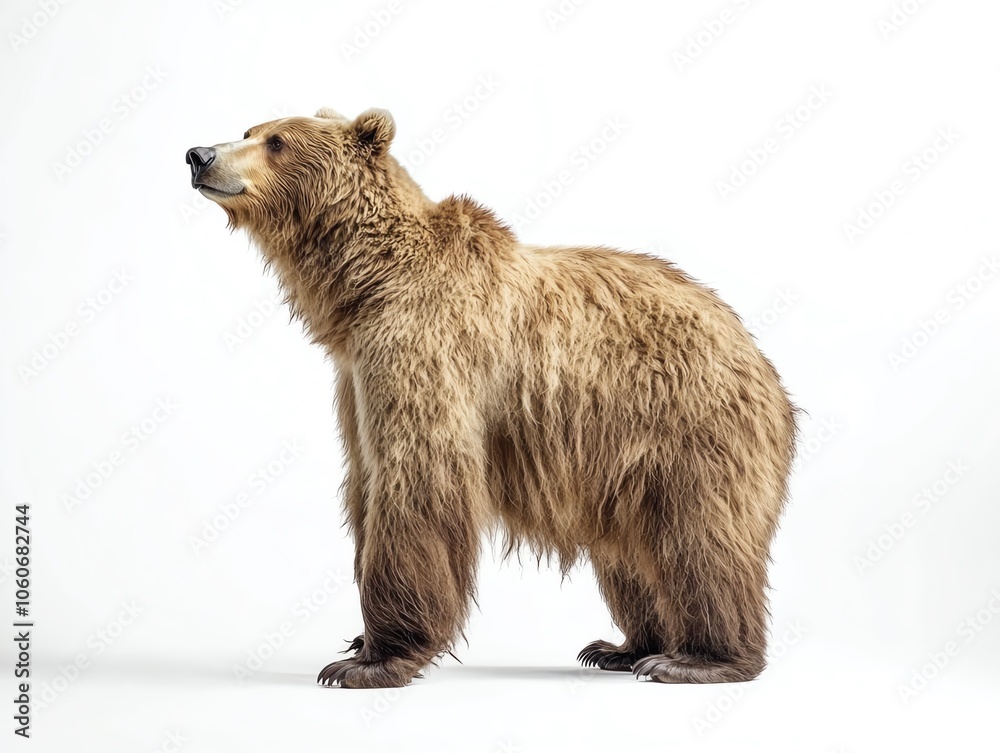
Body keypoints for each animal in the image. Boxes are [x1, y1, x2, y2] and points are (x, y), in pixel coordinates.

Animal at [185, 107, 798, 689]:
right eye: (251, 128)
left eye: (276, 140)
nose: (199, 155)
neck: (365, 288)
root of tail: (756, 353)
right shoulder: (355, 378)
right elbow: (364, 481)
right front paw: (358, 641)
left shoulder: (422, 349)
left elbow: (417, 483)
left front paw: (369, 661)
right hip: (618, 459)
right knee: (628, 552)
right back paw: (622, 647)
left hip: (688, 424)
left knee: (701, 539)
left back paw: (695, 659)